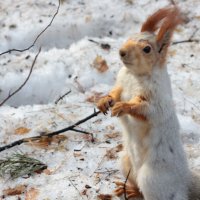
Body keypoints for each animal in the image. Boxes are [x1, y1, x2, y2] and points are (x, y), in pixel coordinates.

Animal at [97, 5, 200, 200]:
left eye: (146, 49)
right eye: (129, 37)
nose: (122, 51)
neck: (135, 76)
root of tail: (184, 186)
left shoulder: (157, 99)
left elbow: (146, 109)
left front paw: (125, 106)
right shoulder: (122, 82)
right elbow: (116, 92)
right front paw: (104, 101)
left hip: (151, 178)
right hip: (125, 161)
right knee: (136, 182)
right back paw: (131, 190)